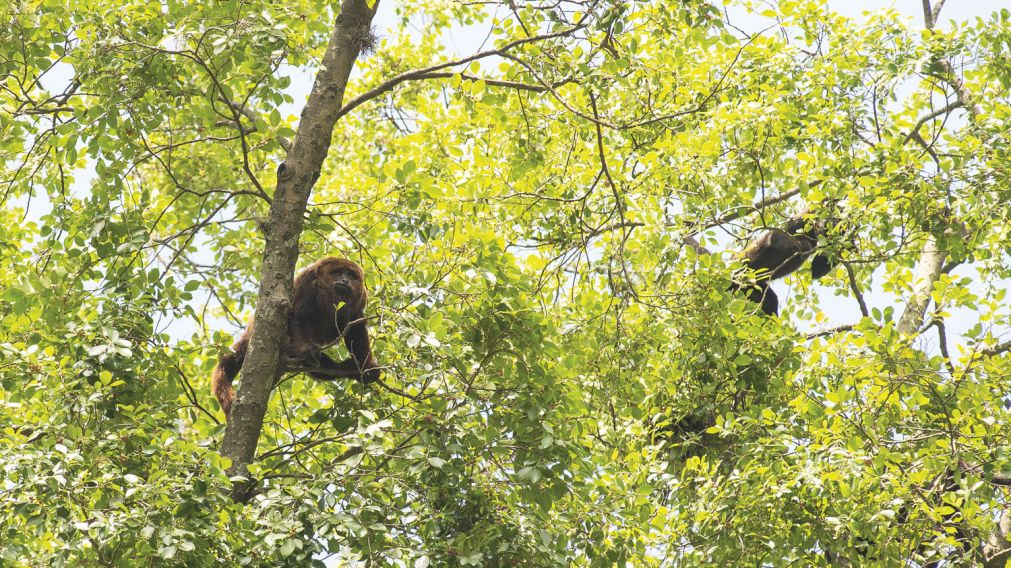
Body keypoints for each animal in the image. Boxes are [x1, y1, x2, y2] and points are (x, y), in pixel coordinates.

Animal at [211, 257, 380, 418]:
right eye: (338, 273)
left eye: (351, 275)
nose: (345, 280)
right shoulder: (309, 283)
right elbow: (299, 316)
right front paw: (306, 349)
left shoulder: (361, 298)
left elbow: (356, 329)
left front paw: (365, 367)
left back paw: (346, 368)